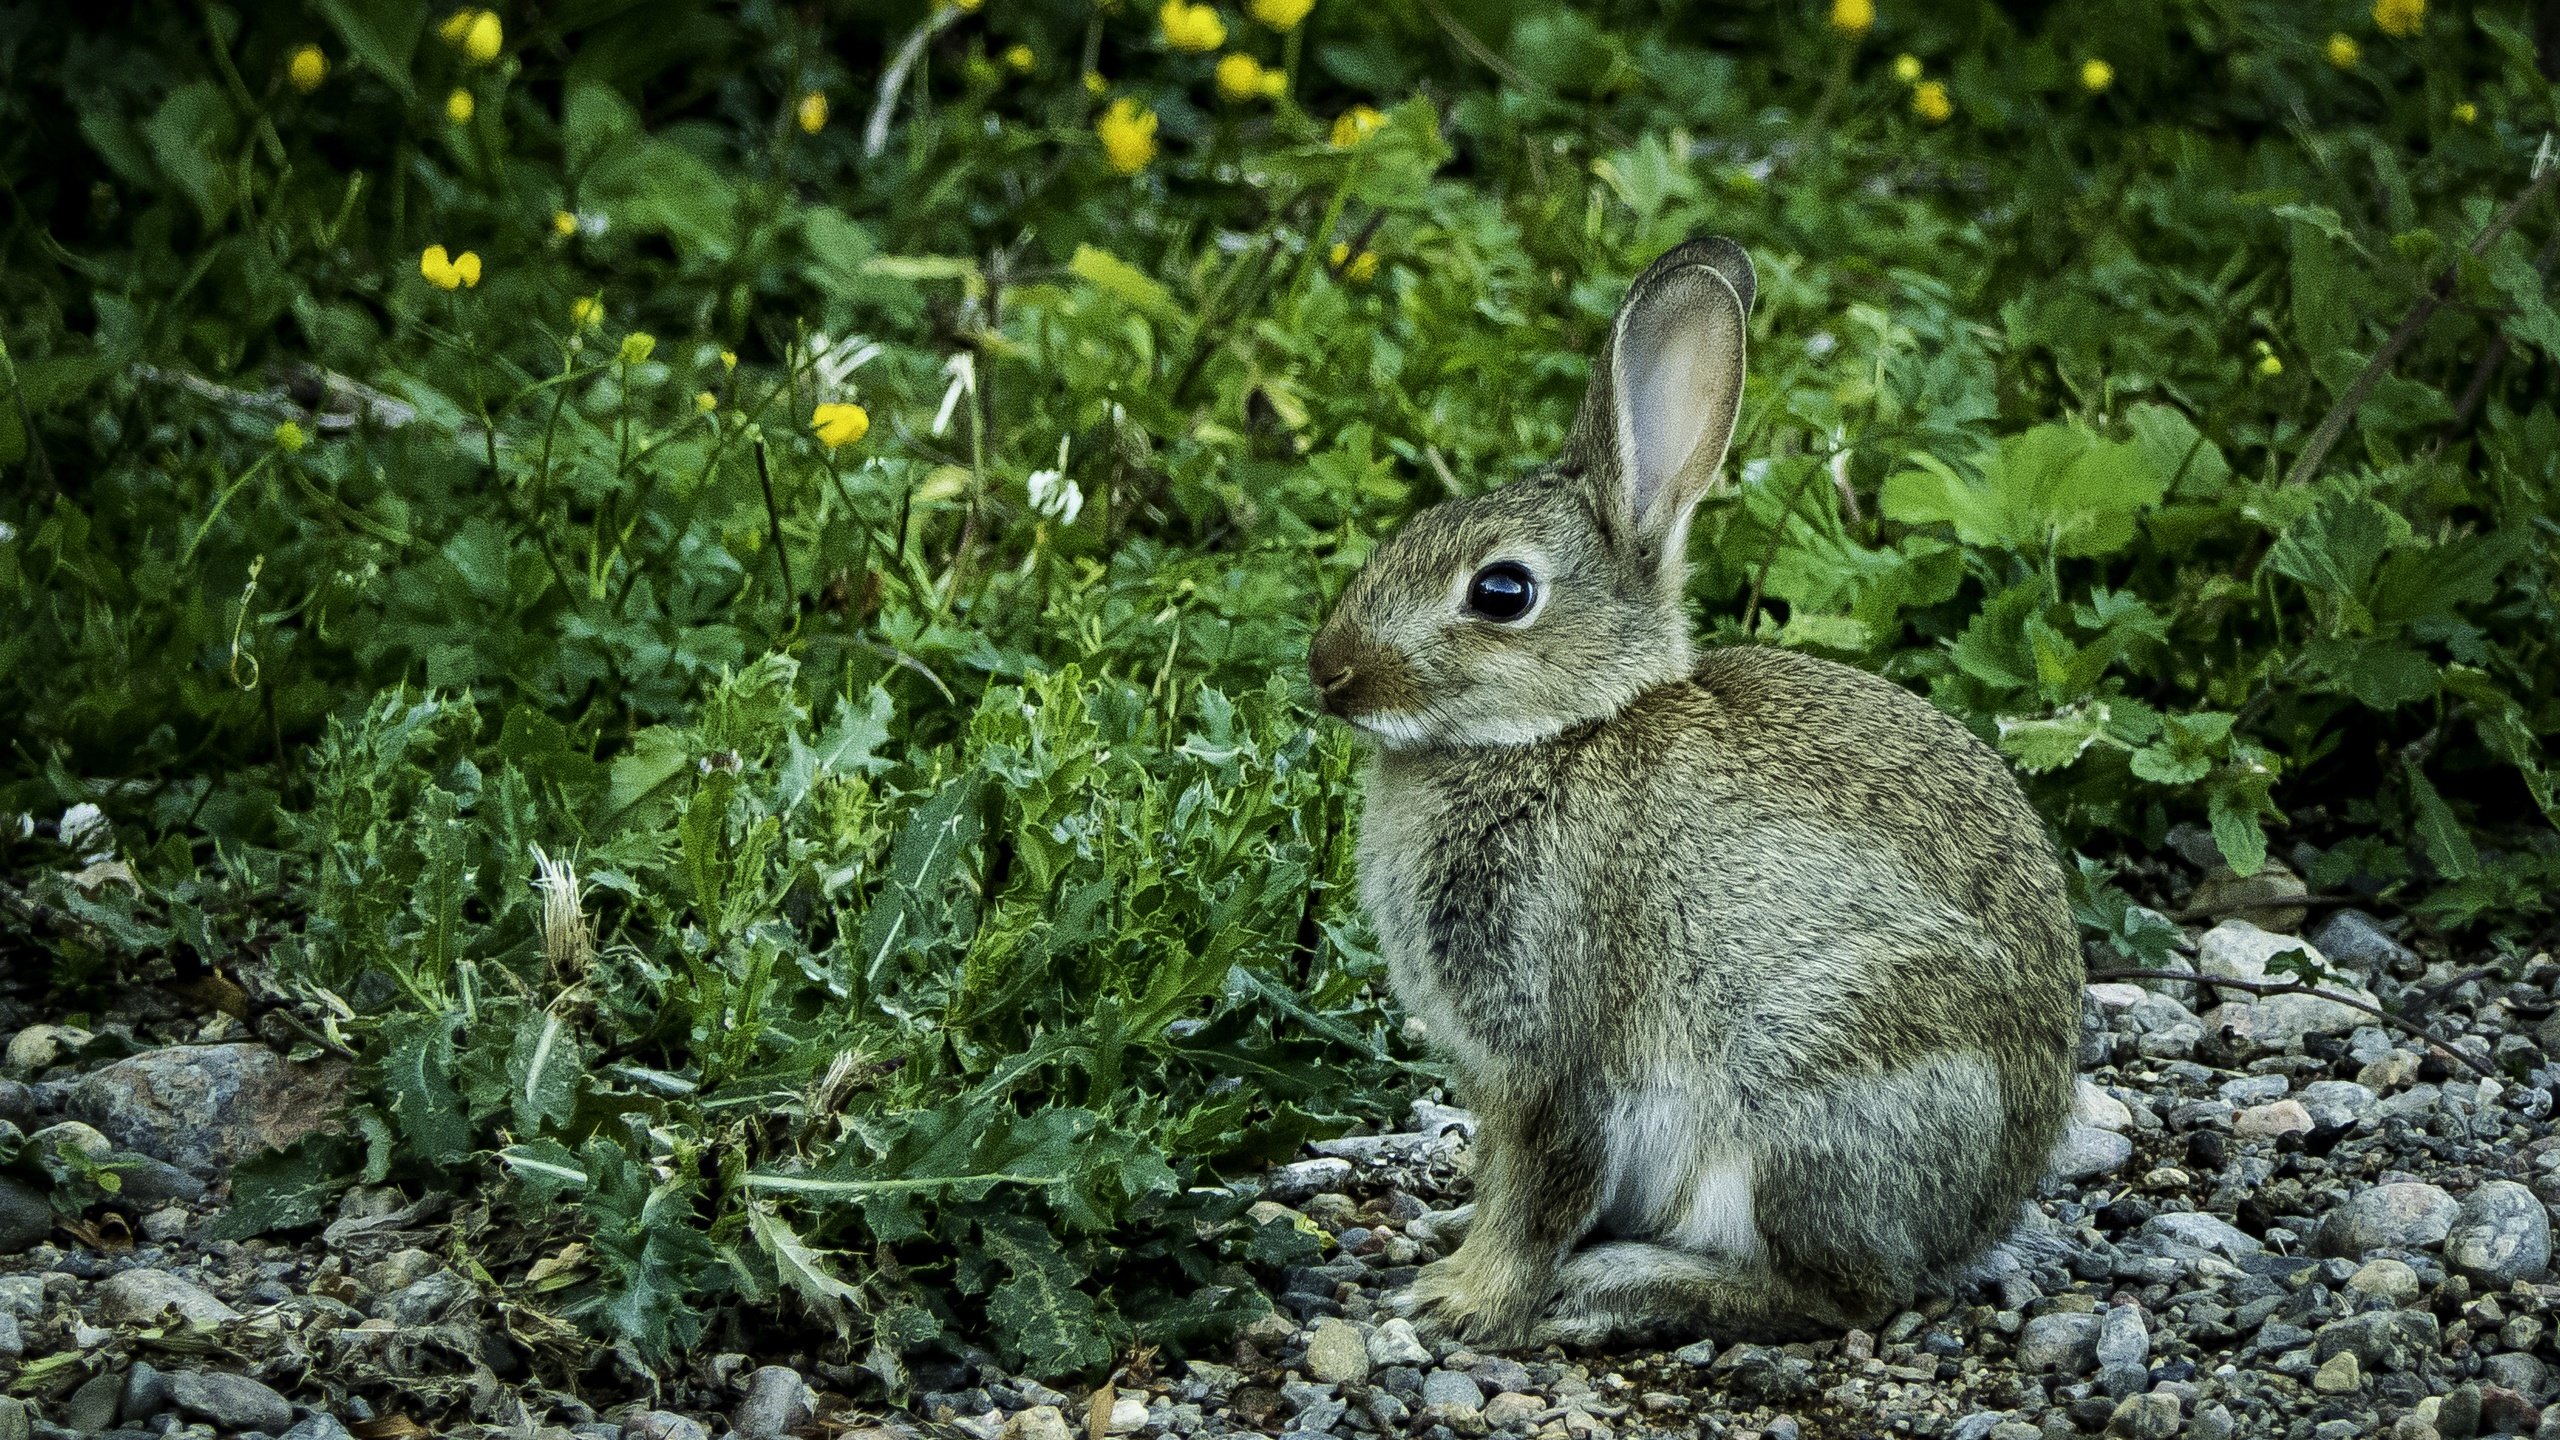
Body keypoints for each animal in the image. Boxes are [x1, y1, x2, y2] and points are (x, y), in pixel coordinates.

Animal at [1300, 235, 2078, 1342]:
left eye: (1501, 592)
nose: (1330, 670)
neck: (1561, 732)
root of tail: (1980, 1213)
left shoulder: (1557, 1054)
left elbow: (1537, 1188)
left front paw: (1462, 1300)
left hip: (1810, 1106)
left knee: (1841, 1294)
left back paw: (1623, 1284)